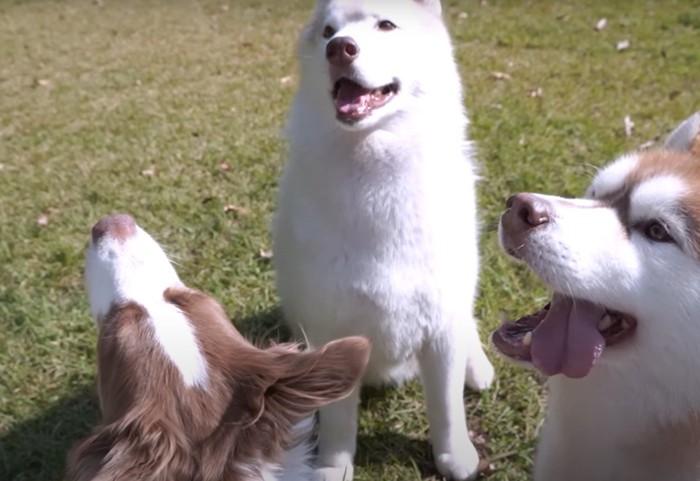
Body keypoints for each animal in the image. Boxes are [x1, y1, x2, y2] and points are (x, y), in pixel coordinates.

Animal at [270, 1, 494, 478]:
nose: (340, 48)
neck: (376, 165)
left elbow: (446, 407)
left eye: (386, 24)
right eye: (328, 31)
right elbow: (338, 421)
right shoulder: (332, 330)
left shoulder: (441, 326)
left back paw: (478, 367)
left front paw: (455, 457)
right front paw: (332, 466)